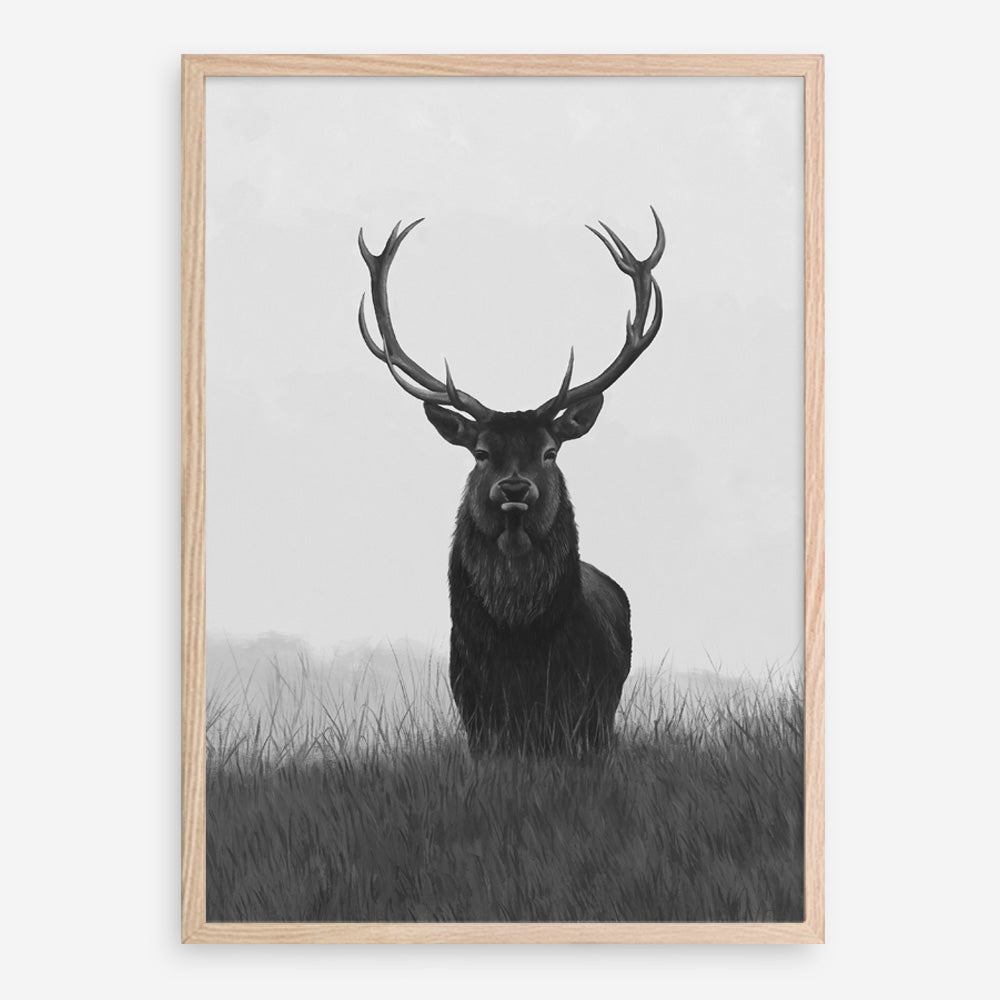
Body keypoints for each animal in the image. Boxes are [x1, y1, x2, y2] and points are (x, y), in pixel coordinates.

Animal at [357, 209, 665, 754]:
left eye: (549, 450)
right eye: (481, 453)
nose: (516, 489)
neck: (522, 651)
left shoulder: (587, 714)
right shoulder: (476, 712)